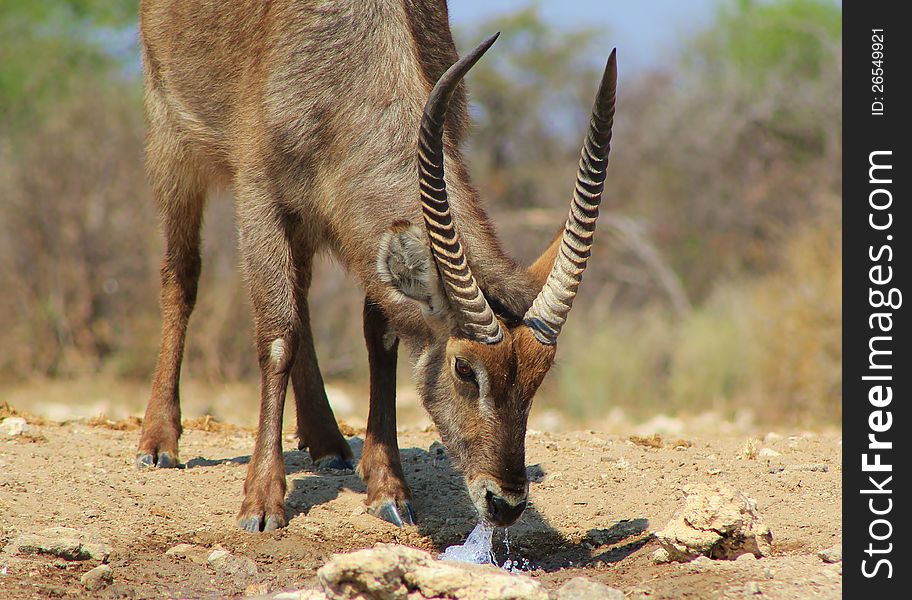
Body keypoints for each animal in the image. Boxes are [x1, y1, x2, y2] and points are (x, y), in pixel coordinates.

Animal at [137, 0, 620, 536]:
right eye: (464, 368)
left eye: (540, 372)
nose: (506, 503)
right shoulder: (259, 194)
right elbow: (278, 339)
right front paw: (261, 502)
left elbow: (381, 340)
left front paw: (388, 488)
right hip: (171, 141)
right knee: (182, 277)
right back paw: (158, 441)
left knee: (301, 294)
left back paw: (327, 441)